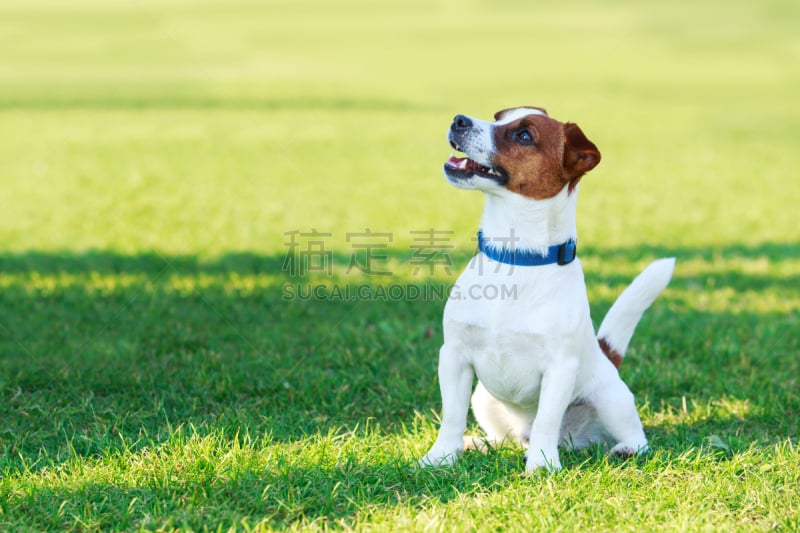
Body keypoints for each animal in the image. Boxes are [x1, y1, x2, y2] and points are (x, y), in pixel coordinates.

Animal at [418, 106, 676, 472]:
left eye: (525, 135)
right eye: (498, 116)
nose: (459, 120)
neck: (514, 259)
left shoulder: (559, 368)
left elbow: (546, 420)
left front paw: (541, 465)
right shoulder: (453, 356)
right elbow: (451, 416)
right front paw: (441, 456)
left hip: (612, 400)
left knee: (636, 438)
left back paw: (620, 449)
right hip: (483, 398)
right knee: (503, 439)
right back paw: (477, 444)